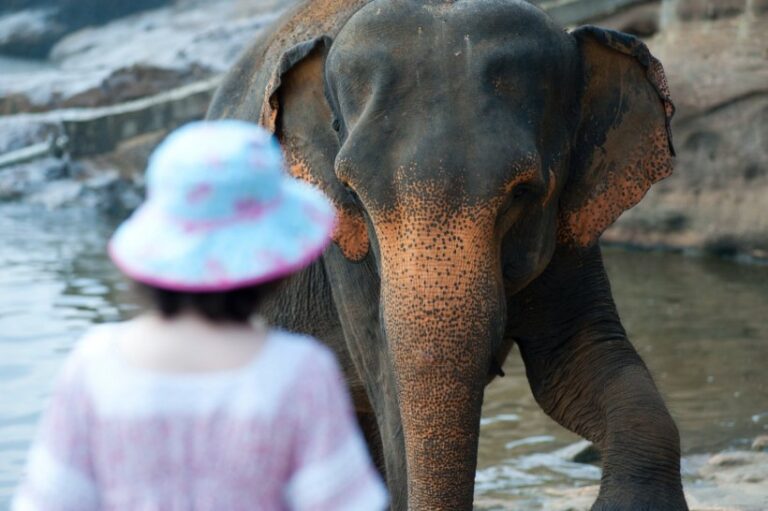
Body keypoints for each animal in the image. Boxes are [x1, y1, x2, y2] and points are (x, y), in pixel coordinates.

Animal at [207, 0, 687, 509]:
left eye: (523, 192)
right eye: (353, 194)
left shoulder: (571, 227)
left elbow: (575, 358)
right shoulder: (345, 257)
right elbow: (390, 403)